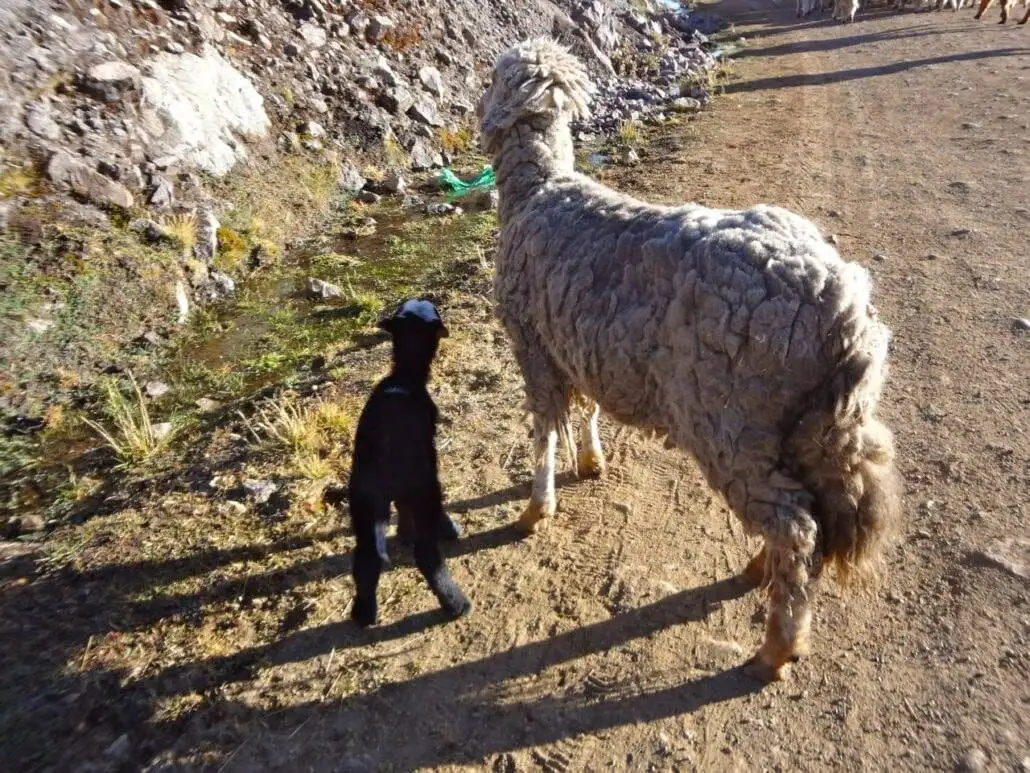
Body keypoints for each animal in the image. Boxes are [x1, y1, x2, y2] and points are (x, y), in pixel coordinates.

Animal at [347, 299, 470, 627]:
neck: (404, 376)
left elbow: (402, 512)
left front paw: (403, 532)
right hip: (422, 489)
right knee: (427, 556)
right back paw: (457, 603)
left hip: (364, 502)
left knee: (366, 560)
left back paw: (364, 614)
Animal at [478, 38, 902, 681]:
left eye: (493, 77)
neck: (540, 188)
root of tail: (844, 307)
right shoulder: (580, 342)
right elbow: (588, 409)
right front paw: (591, 461)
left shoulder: (533, 345)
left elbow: (545, 431)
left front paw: (536, 508)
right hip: (805, 430)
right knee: (803, 518)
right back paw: (761, 573)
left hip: (732, 425)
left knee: (797, 528)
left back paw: (778, 643)